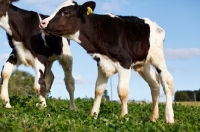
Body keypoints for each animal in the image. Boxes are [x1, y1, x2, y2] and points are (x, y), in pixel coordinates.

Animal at [39, 0, 174, 124]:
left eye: (65, 12)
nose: (42, 23)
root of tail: (156, 26)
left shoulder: (125, 62)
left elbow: (122, 91)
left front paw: (124, 117)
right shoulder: (101, 63)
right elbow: (98, 90)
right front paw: (92, 115)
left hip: (157, 56)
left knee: (167, 81)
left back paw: (169, 118)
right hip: (142, 64)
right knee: (155, 84)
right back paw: (153, 118)